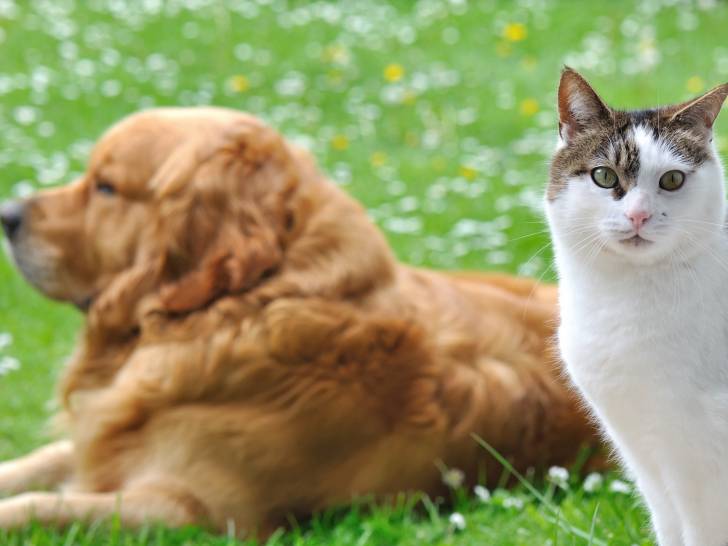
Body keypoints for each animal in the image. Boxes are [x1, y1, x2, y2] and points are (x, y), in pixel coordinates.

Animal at [0, 107, 596, 536]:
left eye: (104, 187)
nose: (7, 215)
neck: (239, 307)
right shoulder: (96, 447)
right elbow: (31, 466)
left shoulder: (195, 509)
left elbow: (35, 505)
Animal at [548, 68, 728, 544]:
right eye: (604, 177)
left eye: (672, 181)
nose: (639, 216)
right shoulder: (644, 455)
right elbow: (670, 526)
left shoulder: (699, 462)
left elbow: (701, 531)